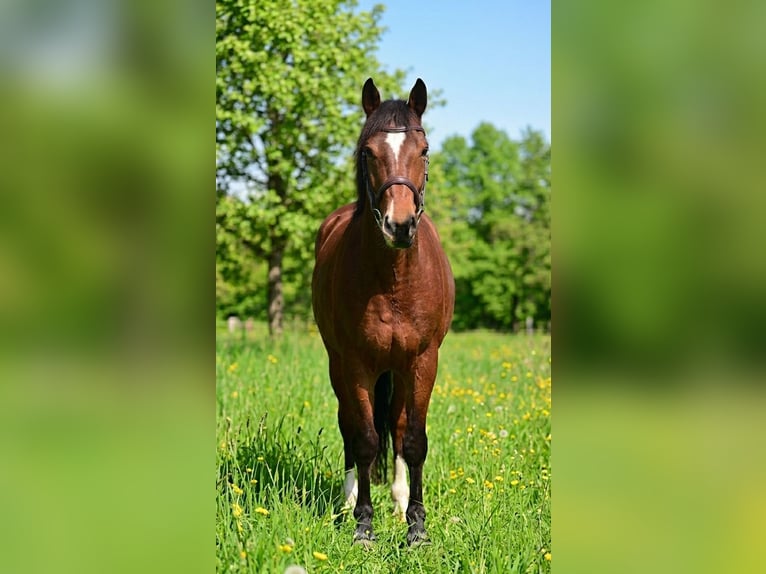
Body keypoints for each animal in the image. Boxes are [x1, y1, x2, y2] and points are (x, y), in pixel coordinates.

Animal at [312, 78, 455, 547]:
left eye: (423, 150)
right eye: (368, 152)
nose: (400, 225)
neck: (393, 280)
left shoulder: (423, 362)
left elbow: (412, 439)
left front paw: (416, 526)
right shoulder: (355, 363)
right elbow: (364, 439)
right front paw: (363, 524)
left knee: (395, 423)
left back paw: (397, 498)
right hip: (340, 366)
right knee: (351, 427)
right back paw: (346, 500)